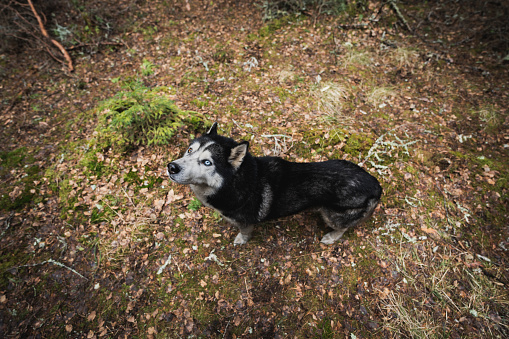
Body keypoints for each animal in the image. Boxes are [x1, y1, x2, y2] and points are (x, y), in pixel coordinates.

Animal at [167, 123, 380, 246]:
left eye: (207, 162)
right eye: (189, 150)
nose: (171, 167)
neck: (236, 183)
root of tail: (376, 185)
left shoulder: (246, 222)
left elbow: (244, 232)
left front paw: (241, 240)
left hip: (333, 216)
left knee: (343, 228)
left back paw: (331, 238)